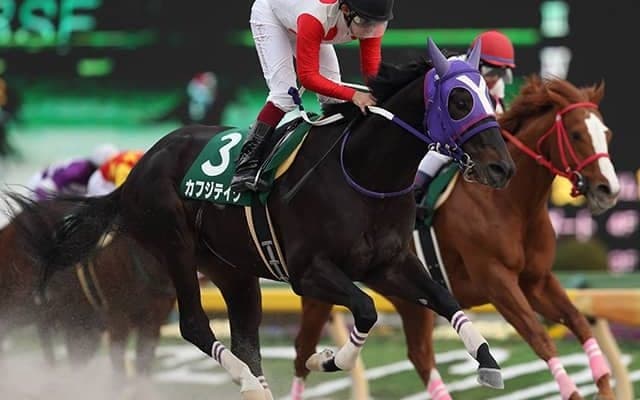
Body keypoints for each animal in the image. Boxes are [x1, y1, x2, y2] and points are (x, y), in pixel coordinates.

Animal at [291, 75, 620, 400]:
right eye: (576, 134)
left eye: (607, 133)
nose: (609, 189)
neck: (511, 203)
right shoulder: (496, 280)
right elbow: (539, 337)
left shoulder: (536, 281)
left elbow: (579, 322)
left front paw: (605, 386)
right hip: (321, 284)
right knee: (302, 353)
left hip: (405, 292)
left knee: (420, 354)